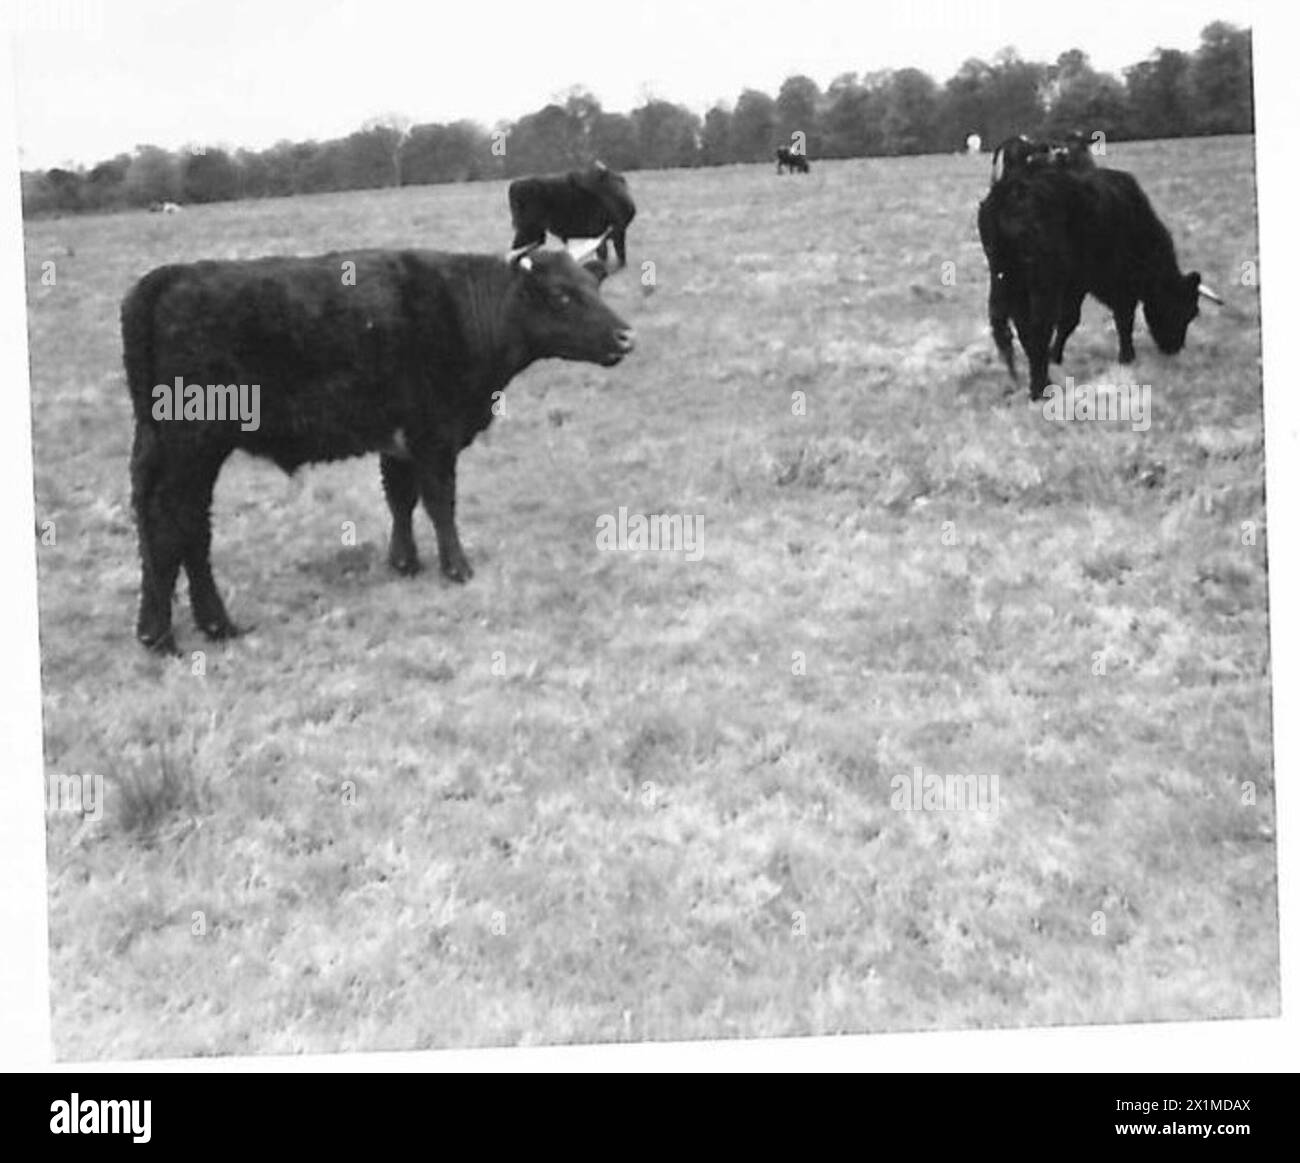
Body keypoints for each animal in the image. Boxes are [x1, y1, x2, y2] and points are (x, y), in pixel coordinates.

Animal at [122, 239, 634, 654]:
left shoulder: (399, 440)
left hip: (163, 449)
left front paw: (404, 562)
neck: (461, 309)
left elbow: (400, 498)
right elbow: (440, 503)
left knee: (170, 526)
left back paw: (175, 628)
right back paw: (181, 633)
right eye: (562, 295)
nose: (626, 336)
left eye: (595, 286)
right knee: (175, 526)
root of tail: (168, 277)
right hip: (194, 447)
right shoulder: (434, 434)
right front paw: (457, 568)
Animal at [977, 157, 1216, 400]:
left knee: (1009, 326)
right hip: (1042, 283)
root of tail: (1010, 192)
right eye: (1186, 310)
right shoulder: (1102, 284)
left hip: (1005, 279)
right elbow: (1112, 318)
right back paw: (1040, 388)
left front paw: (1055, 356)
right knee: (1037, 327)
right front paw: (1126, 357)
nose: (1174, 349)